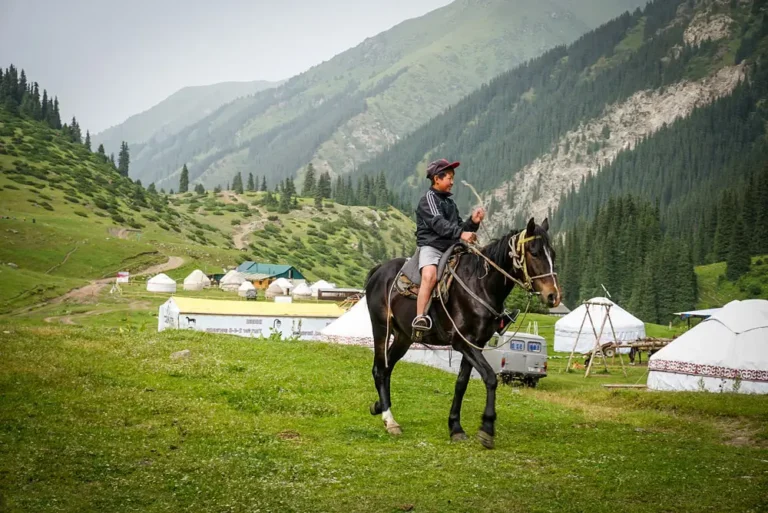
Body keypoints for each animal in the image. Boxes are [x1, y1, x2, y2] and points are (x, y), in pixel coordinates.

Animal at [364, 217, 560, 448]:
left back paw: (379, 407)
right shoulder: (463, 342)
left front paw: (455, 427)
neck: (480, 285)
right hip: (381, 329)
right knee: (379, 369)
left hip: (404, 337)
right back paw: (389, 420)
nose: (553, 296)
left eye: (553, 253)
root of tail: (378, 271)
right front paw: (487, 428)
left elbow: (461, 384)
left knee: (386, 369)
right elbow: (490, 378)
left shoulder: (477, 344)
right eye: (534, 252)